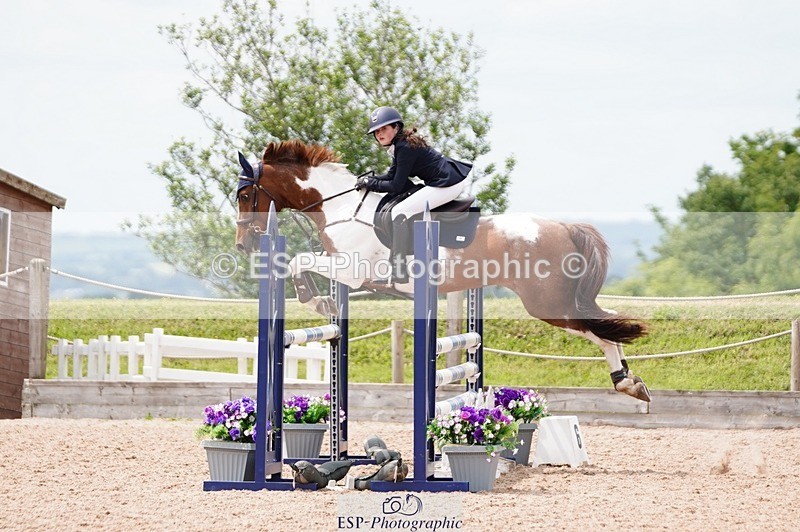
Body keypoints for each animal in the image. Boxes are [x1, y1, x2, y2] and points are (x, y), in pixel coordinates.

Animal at [234, 140, 651, 401]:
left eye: (244, 195)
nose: (243, 245)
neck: (339, 207)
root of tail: (564, 227)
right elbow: (303, 262)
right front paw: (323, 302)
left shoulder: (350, 270)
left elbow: (298, 262)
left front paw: (317, 301)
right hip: (560, 299)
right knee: (608, 320)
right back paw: (629, 380)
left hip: (547, 303)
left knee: (599, 329)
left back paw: (627, 384)